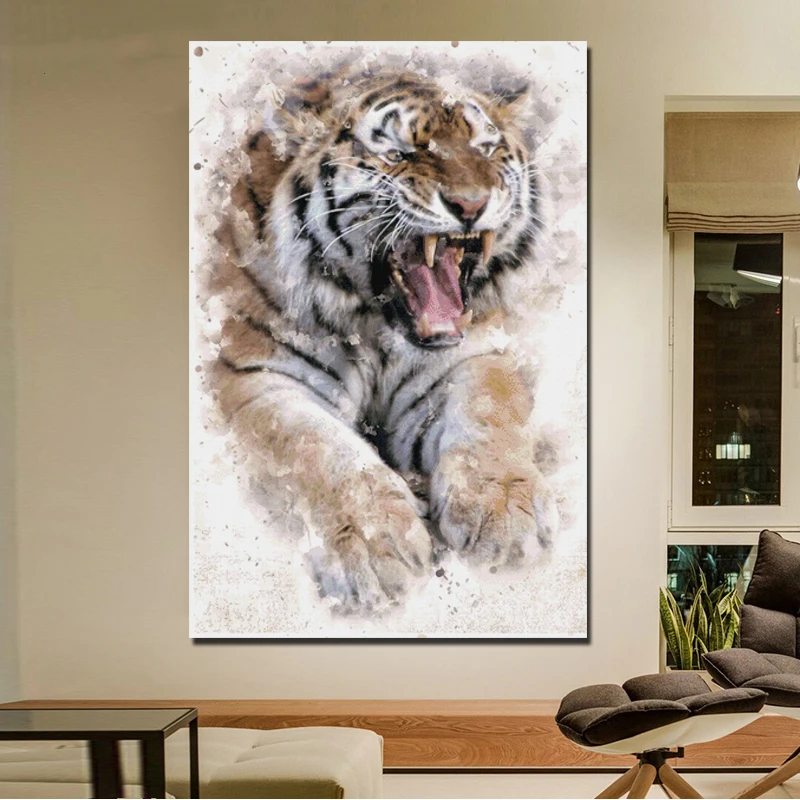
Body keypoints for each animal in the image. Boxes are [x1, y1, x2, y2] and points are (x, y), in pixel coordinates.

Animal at [206, 64, 561, 615]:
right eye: (399, 154)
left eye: (485, 150)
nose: (472, 205)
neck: (377, 328)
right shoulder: (257, 378)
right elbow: (318, 450)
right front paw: (376, 547)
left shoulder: (468, 358)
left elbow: (489, 416)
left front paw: (505, 509)